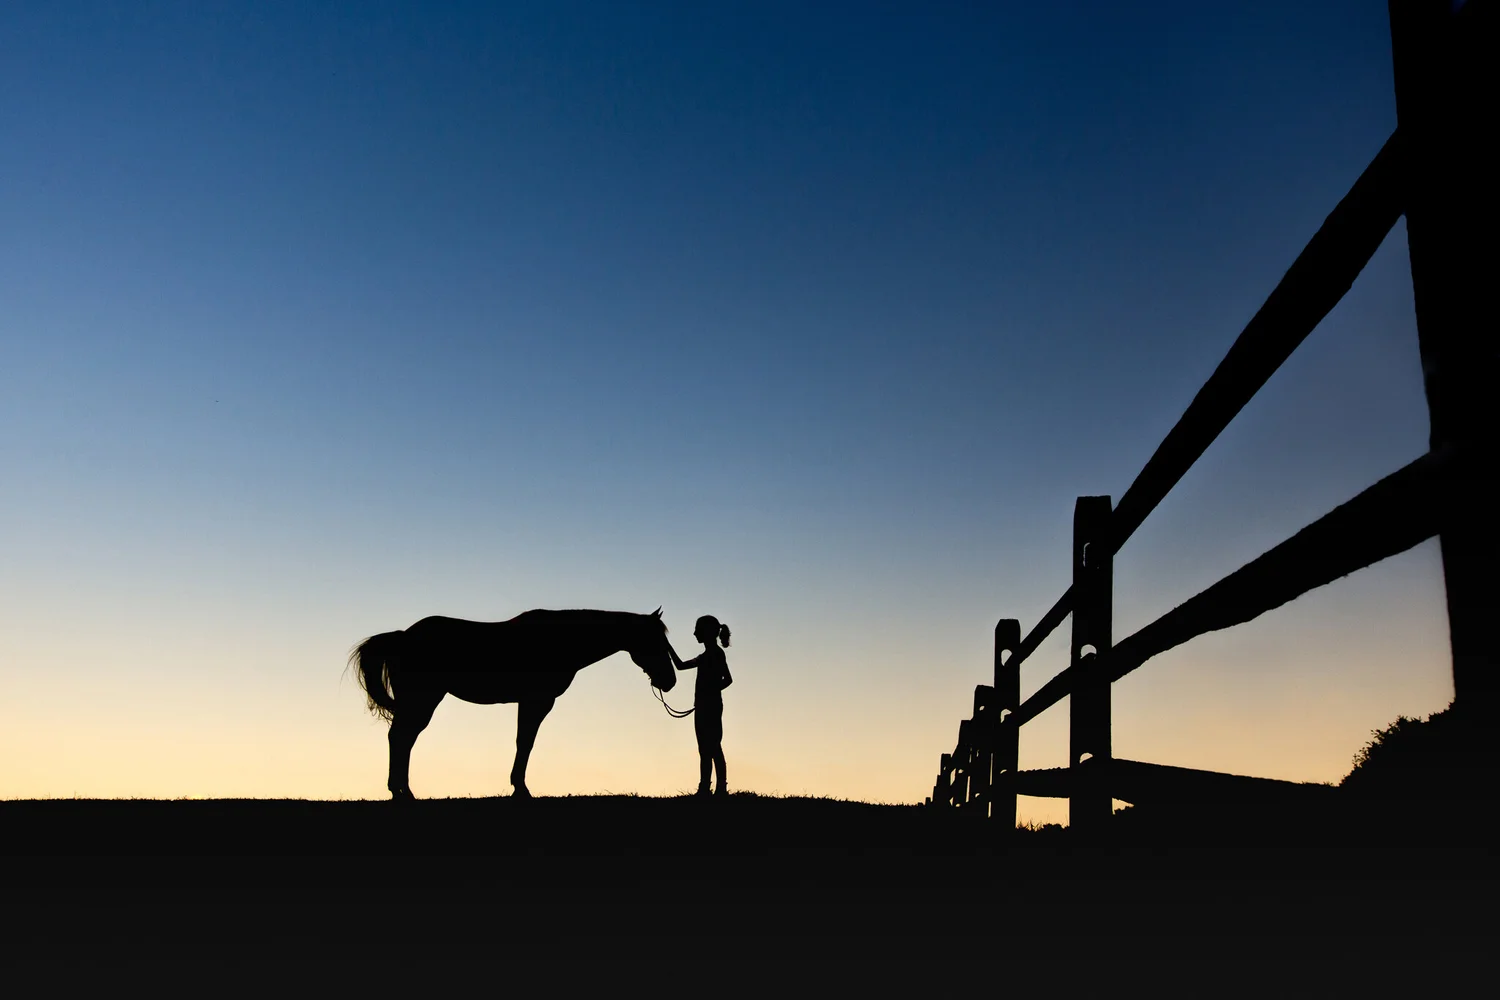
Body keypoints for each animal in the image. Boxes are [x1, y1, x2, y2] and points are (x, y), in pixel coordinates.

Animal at [349, 607, 677, 800]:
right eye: (655, 641)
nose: (669, 681)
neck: (562, 639)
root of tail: (402, 636)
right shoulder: (537, 701)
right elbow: (525, 742)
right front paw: (520, 788)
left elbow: (523, 742)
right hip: (423, 700)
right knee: (401, 738)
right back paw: (401, 792)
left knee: (402, 738)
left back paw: (401, 790)